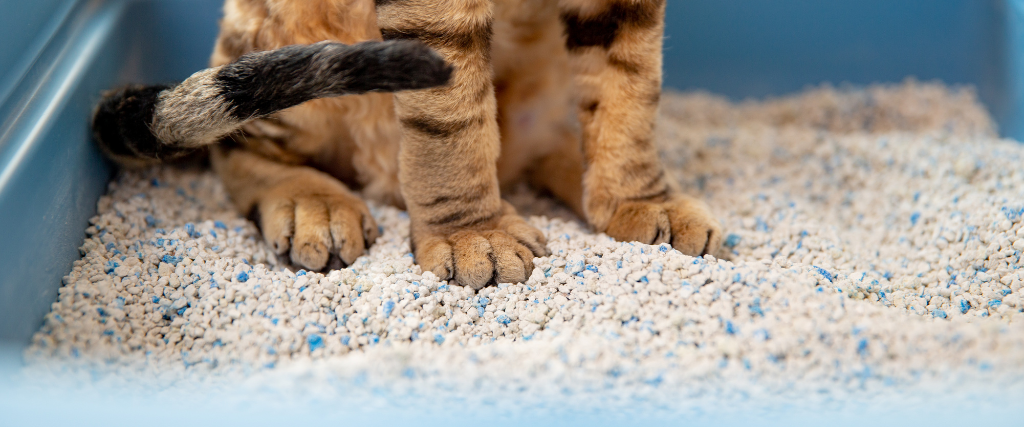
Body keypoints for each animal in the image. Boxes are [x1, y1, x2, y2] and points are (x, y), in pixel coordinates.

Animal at [94, 0, 720, 288]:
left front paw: (642, 202)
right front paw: (474, 236)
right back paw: (312, 203)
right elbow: (451, 120)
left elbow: (630, 87)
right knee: (240, 143)